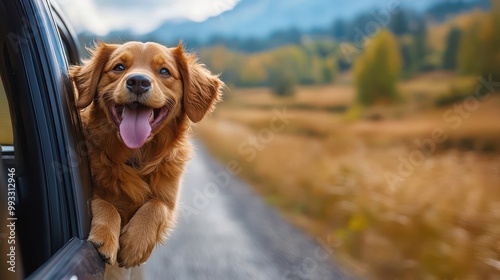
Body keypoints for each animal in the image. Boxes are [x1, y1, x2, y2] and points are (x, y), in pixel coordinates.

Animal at [69, 41, 223, 266]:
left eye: (164, 71)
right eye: (119, 67)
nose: (138, 82)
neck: (136, 157)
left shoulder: (169, 199)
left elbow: (157, 206)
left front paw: (136, 242)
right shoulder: (95, 191)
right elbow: (105, 203)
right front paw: (106, 237)